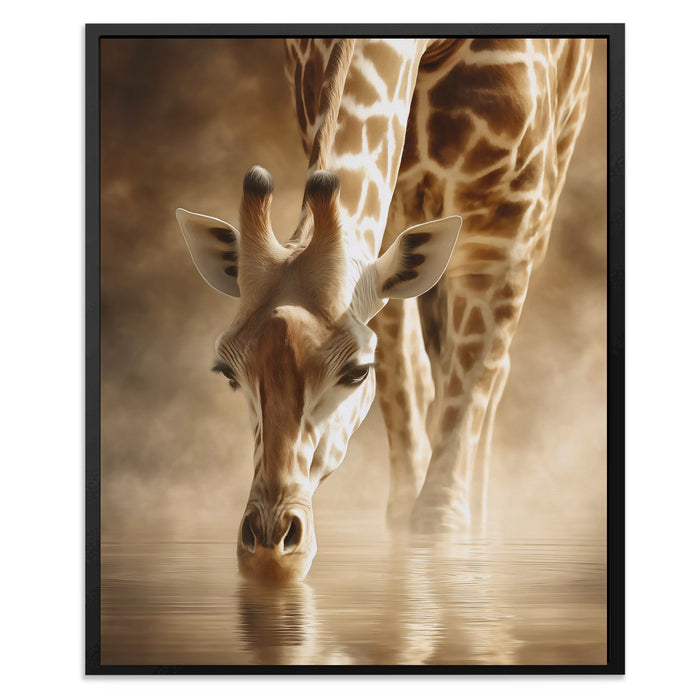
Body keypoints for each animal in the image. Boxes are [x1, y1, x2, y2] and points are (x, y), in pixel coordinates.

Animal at [176, 37, 593, 582]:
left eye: (357, 371)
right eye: (228, 372)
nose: (270, 547)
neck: (426, 46)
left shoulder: (503, 224)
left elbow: (440, 511)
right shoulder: (390, 222)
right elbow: (408, 429)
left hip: (546, 190)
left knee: (491, 378)